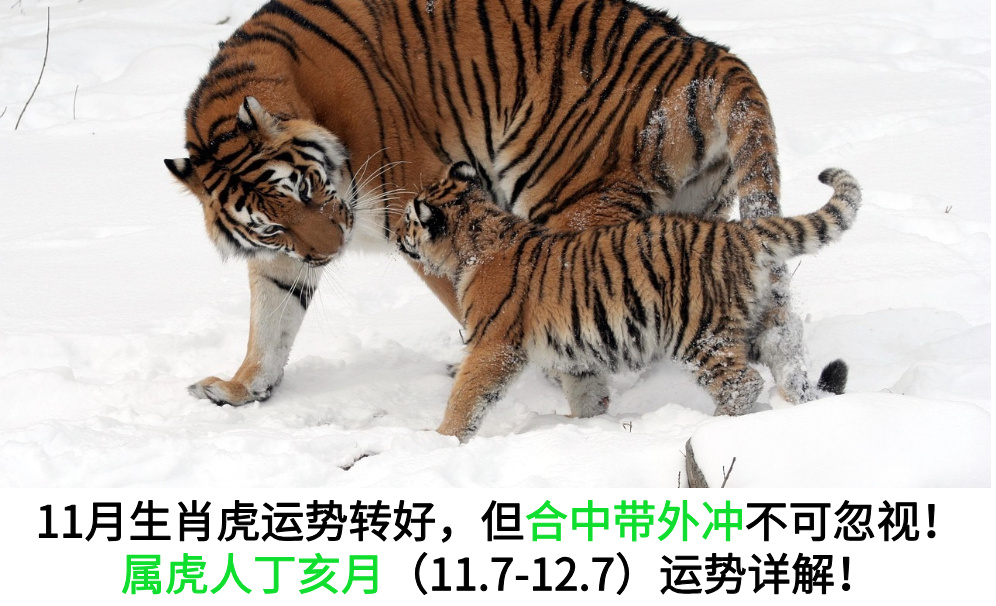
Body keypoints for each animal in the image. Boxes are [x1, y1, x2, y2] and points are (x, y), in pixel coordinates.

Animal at [164, 0, 812, 408]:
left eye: (304, 189)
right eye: (270, 227)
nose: (329, 253)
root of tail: (712, 55)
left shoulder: (419, 202)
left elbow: (472, 298)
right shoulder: (283, 256)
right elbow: (271, 321)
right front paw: (242, 389)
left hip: (568, 198)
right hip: (692, 213)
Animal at [398, 163, 859, 441]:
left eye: (408, 219)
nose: (398, 235)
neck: (476, 236)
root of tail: (739, 232)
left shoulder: (493, 344)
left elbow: (467, 395)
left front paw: (441, 439)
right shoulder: (575, 353)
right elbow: (585, 392)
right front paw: (582, 425)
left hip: (699, 333)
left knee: (742, 382)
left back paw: (711, 428)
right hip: (763, 323)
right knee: (790, 362)